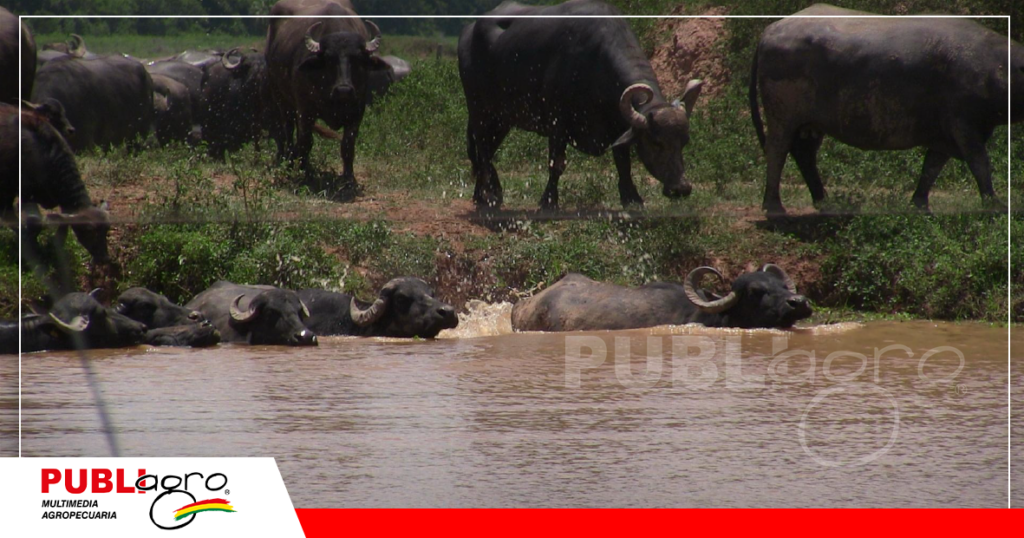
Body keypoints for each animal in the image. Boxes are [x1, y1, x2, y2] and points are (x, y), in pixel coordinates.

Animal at [265, 0, 390, 177]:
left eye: (357, 59)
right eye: (329, 59)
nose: (344, 90)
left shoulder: (357, 111)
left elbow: (348, 145)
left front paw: (349, 177)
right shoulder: (305, 109)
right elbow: (306, 142)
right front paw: (303, 172)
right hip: (280, 97)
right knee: (288, 130)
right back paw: (288, 160)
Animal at [458, 0, 703, 209]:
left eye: (684, 141)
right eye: (656, 143)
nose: (681, 188)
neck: (594, 64)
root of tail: (469, 31)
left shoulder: (617, 126)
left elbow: (623, 161)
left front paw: (631, 198)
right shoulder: (557, 124)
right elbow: (556, 163)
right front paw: (549, 202)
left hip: (502, 118)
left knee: (487, 151)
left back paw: (483, 195)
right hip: (480, 110)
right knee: (482, 150)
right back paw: (490, 195)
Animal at [750, 4, 1024, 215]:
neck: (998, 69)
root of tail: (769, 31)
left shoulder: (945, 133)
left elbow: (931, 167)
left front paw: (919, 204)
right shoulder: (964, 124)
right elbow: (979, 162)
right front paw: (995, 204)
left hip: (811, 123)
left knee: (804, 153)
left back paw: (824, 202)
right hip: (783, 116)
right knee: (777, 150)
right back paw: (774, 206)